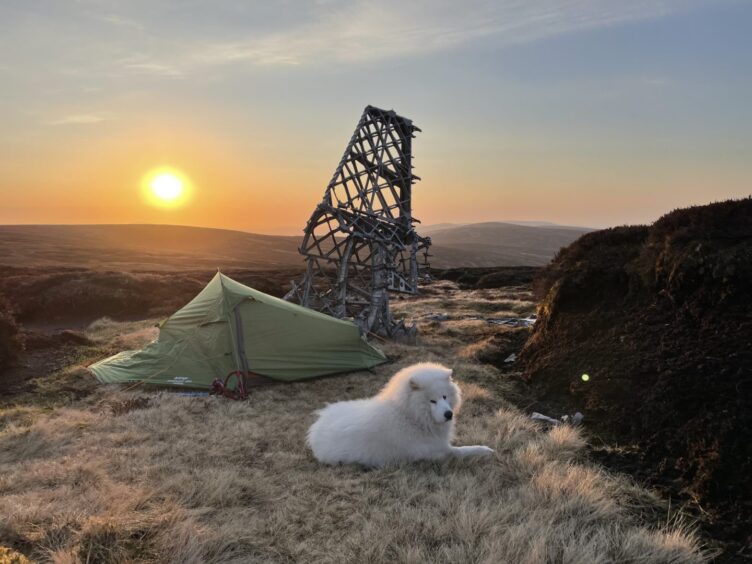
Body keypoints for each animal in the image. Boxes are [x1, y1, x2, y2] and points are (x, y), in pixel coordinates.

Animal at [306, 362, 494, 468]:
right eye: (432, 401)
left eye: (444, 397)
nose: (449, 414)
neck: (410, 416)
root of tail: (314, 429)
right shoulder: (439, 452)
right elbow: (464, 451)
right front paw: (486, 450)